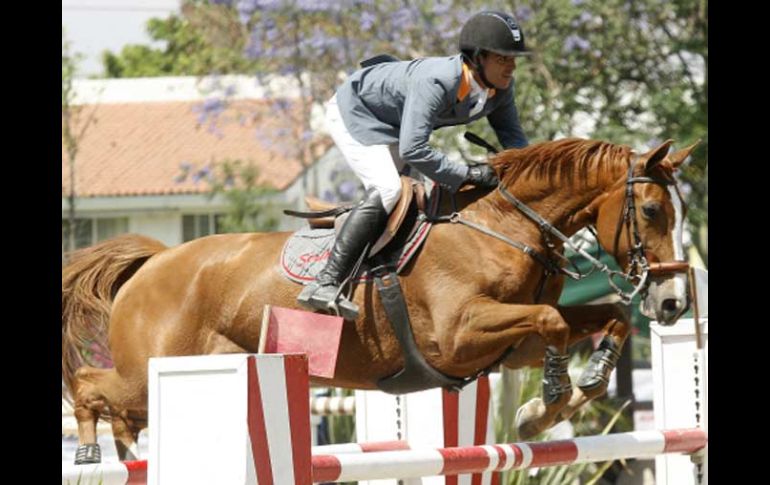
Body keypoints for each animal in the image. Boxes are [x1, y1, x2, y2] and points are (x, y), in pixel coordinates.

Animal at [61, 138, 696, 464]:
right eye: (651, 211)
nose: (671, 304)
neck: (502, 223)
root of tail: (154, 261)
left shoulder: (507, 347)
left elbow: (602, 317)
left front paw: (557, 401)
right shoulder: (462, 335)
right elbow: (553, 321)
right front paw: (552, 400)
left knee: (121, 410)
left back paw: (126, 457)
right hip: (152, 370)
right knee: (91, 386)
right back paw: (94, 453)